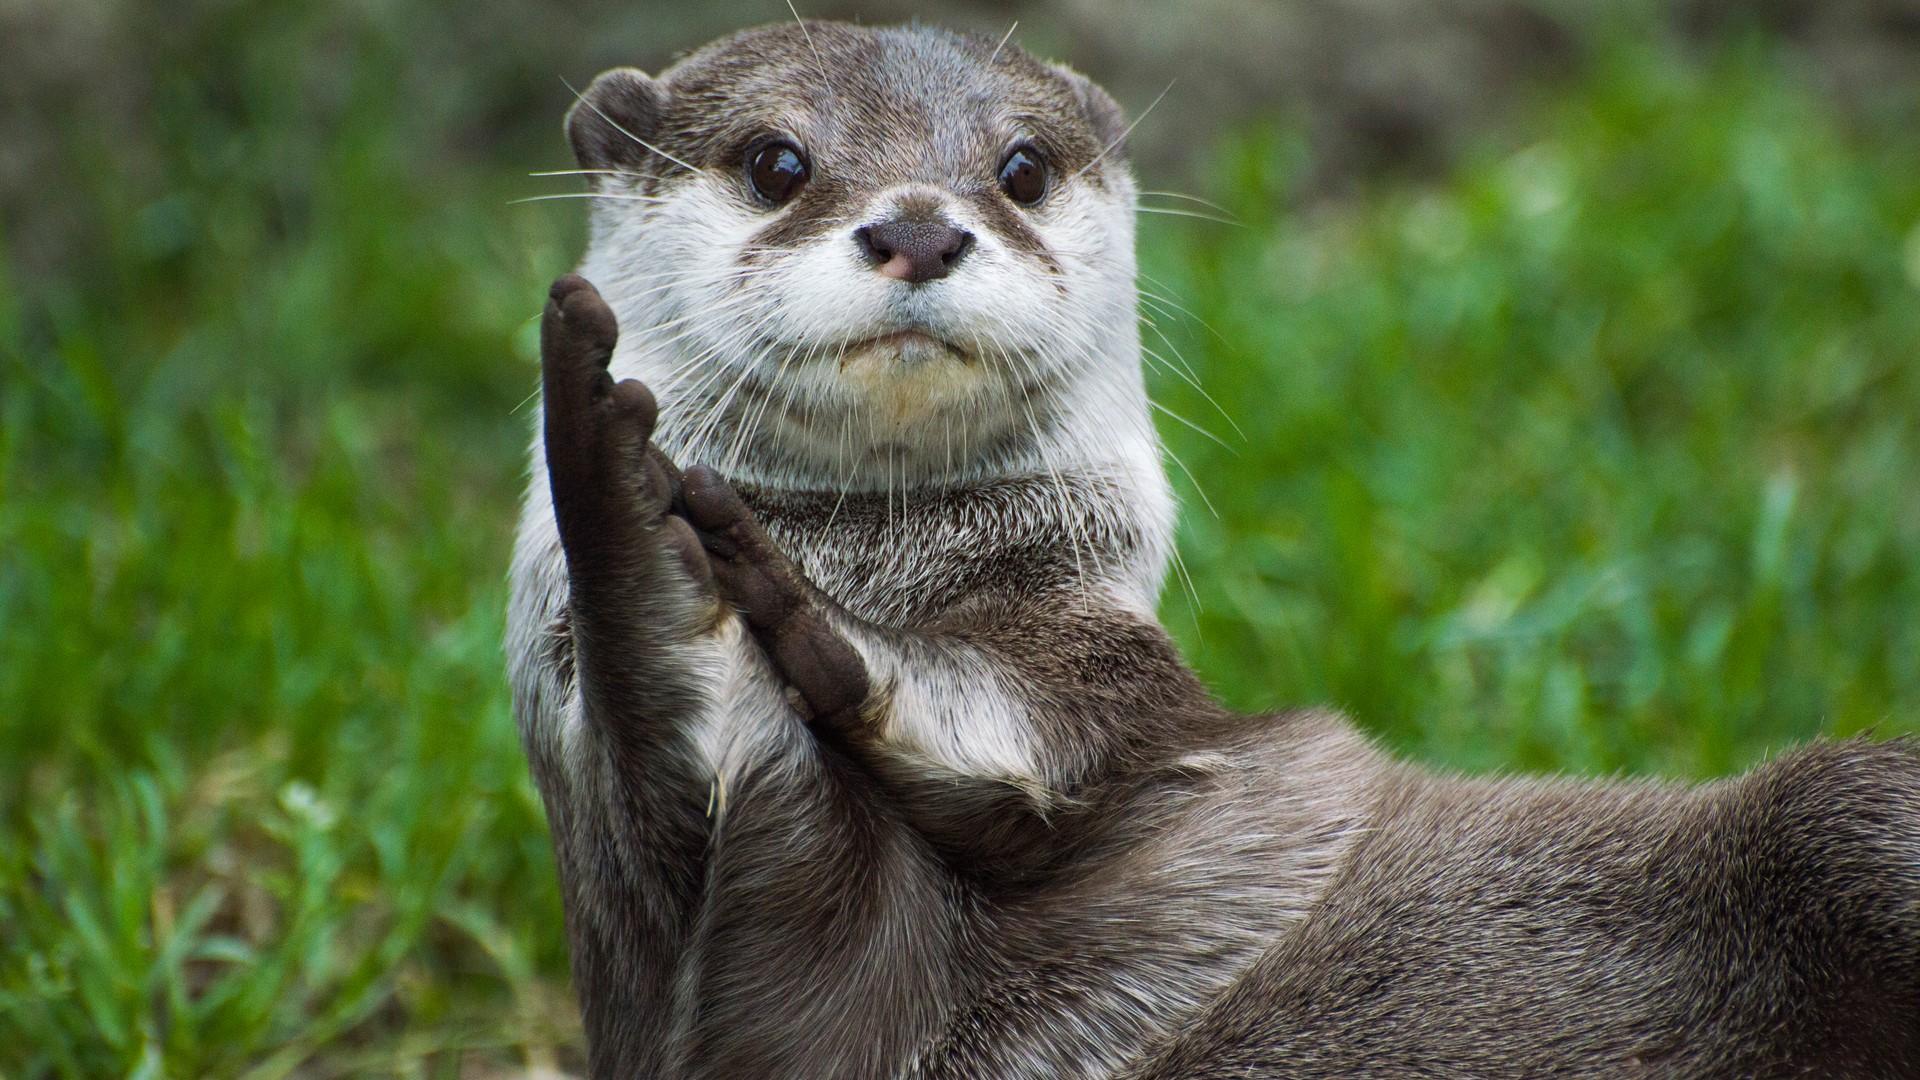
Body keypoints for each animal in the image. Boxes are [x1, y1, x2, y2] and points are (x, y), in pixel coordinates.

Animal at [504, 21, 1920, 1078]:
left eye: (1021, 169)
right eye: (777, 161)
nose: (919, 227)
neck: (890, 562)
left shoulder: (1110, 676)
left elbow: (1025, 724)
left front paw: (787, 606)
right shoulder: (685, 918)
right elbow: (724, 832)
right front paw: (642, 518)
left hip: (1846, 813)